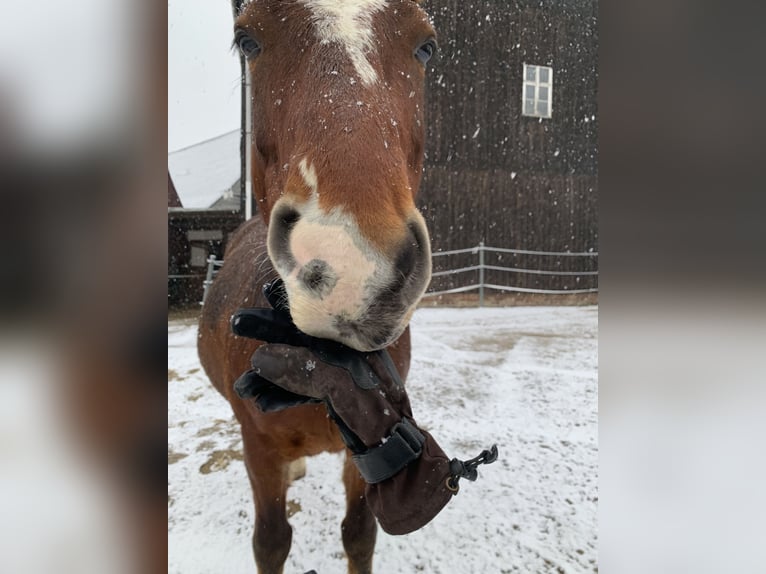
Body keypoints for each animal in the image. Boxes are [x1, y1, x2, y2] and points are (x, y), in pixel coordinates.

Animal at [198, 2, 438, 572]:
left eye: (426, 45)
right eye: (247, 40)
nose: (350, 264)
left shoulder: (365, 446)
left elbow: (359, 533)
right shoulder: (257, 450)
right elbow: (271, 540)